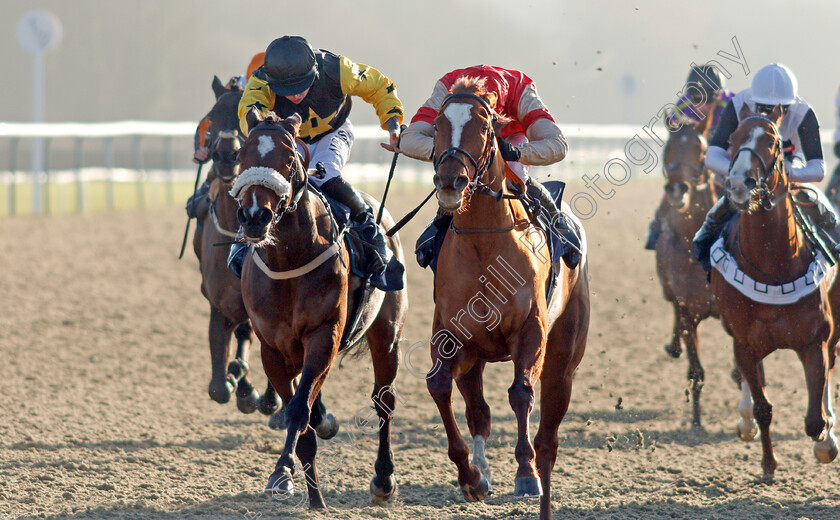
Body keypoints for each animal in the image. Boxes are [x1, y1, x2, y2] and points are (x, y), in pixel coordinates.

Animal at [231, 108, 406, 508]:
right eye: (241, 156)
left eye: (288, 159)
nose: (254, 216)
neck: (288, 261)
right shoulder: (272, 348)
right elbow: (298, 409)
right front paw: (309, 494)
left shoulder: (323, 335)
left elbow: (299, 409)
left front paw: (282, 471)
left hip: (386, 334)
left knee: (383, 401)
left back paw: (383, 479)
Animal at [426, 78, 592, 520]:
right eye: (438, 128)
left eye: (484, 127)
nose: (450, 182)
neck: (485, 244)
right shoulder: (453, 337)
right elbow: (440, 387)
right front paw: (469, 475)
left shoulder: (530, 331)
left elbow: (521, 393)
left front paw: (526, 474)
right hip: (475, 357)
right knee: (478, 411)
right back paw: (482, 472)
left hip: (566, 352)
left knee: (551, 409)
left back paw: (541, 462)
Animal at [716, 106, 840, 480]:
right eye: (732, 138)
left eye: (773, 142)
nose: (738, 184)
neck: (773, 266)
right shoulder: (744, 342)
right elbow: (763, 407)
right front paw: (768, 464)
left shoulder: (814, 340)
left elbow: (815, 419)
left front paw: (826, 441)